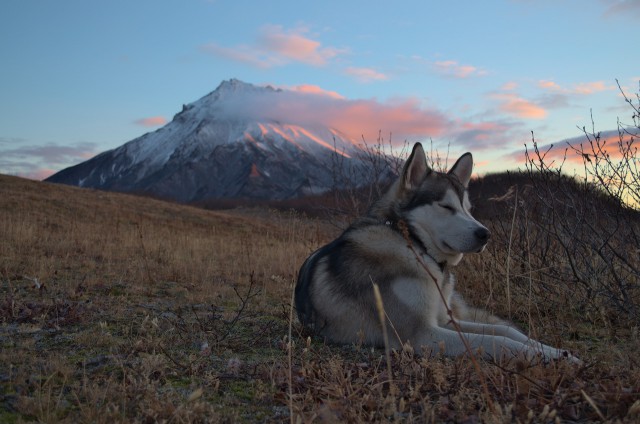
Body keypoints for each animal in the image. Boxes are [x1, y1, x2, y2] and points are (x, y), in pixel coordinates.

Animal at [296, 144, 580, 362]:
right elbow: (499, 342)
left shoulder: (443, 320)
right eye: (446, 206)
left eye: (468, 208)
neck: (414, 243)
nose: (485, 234)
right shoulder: (420, 334)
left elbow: (505, 333)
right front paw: (547, 357)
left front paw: (557, 352)